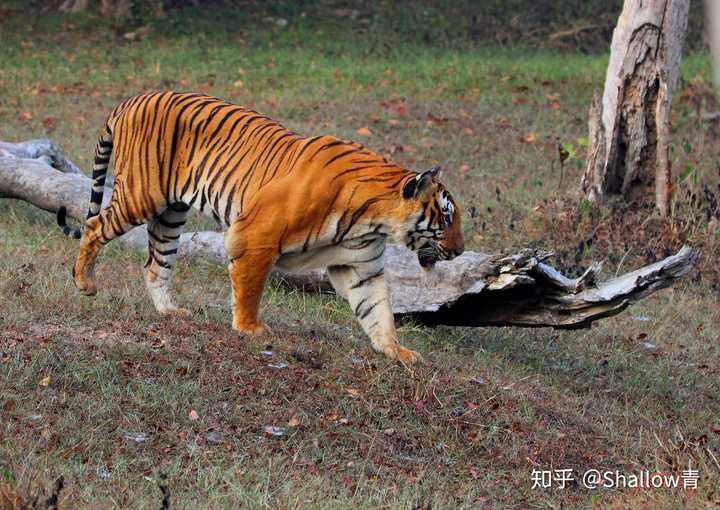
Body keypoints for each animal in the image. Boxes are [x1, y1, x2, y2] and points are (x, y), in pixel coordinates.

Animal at [54, 90, 462, 362]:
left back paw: (169, 311)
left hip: (171, 213)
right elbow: (249, 289)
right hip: (142, 194)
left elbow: (377, 310)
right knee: (95, 225)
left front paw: (396, 351)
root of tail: (134, 97)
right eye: (445, 217)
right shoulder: (254, 236)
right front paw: (249, 329)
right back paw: (84, 282)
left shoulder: (361, 266)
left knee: (156, 263)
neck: (372, 220)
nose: (459, 251)